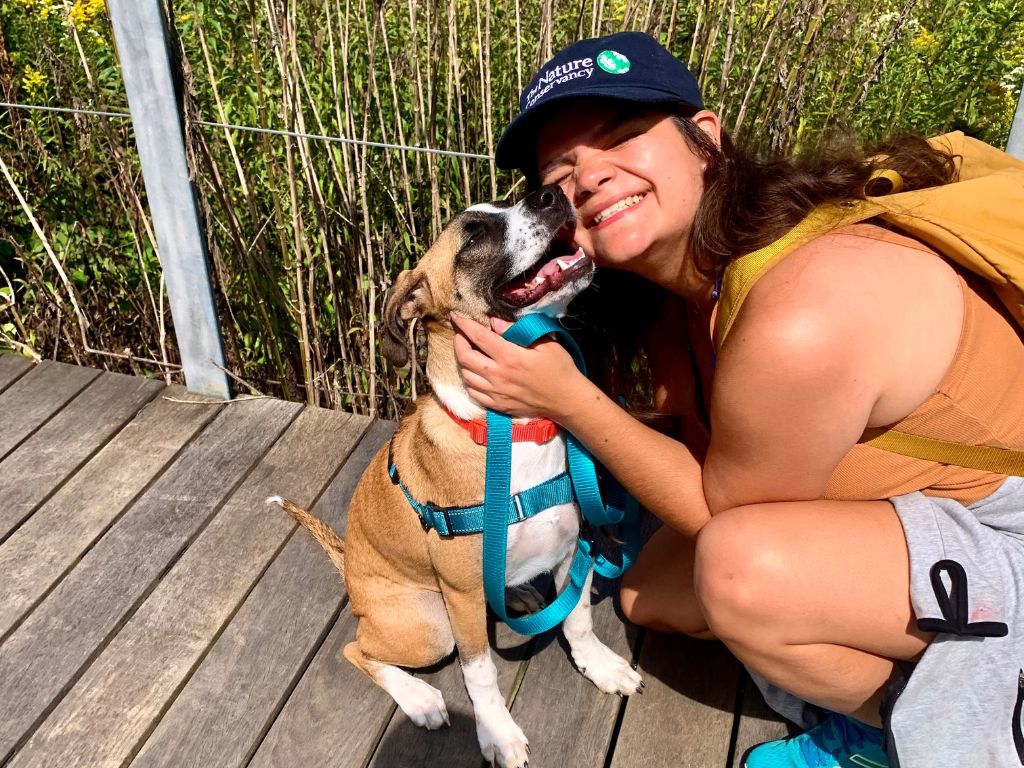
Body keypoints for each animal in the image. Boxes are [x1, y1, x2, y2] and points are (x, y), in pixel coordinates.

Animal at [268, 186, 643, 768]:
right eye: (472, 237)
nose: (552, 193)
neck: (514, 430)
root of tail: (350, 575)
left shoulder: (572, 549)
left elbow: (578, 619)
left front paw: (599, 666)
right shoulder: (463, 601)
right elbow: (481, 673)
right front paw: (498, 733)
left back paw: (520, 596)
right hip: (428, 625)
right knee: (357, 647)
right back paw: (419, 698)